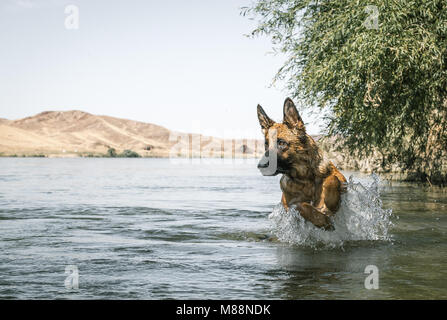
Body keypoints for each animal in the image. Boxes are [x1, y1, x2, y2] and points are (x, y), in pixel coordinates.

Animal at [258, 97, 348, 230]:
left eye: (281, 143)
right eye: (266, 144)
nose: (260, 166)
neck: (305, 178)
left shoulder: (340, 178)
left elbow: (332, 179)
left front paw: (332, 204)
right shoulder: (290, 208)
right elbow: (301, 206)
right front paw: (323, 221)